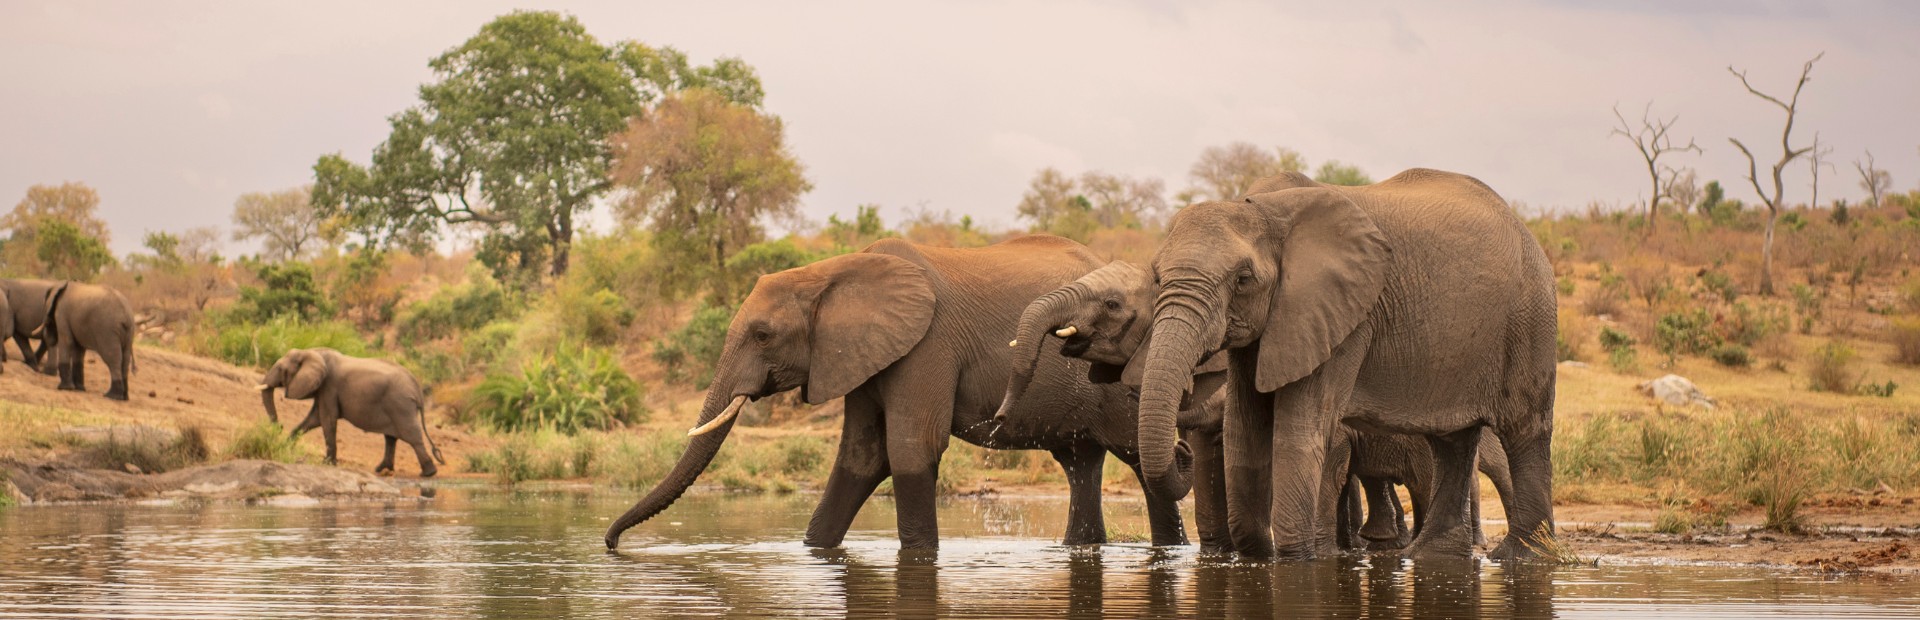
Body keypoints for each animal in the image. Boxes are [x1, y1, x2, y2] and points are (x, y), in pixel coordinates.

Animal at [256, 347, 445, 477]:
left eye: (281, 369)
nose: (279, 426)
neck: (311, 351)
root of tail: (417, 388)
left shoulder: (329, 386)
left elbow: (327, 420)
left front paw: (328, 464)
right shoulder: (323, 389)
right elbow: (314, 419)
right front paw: (286, 446)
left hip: (401, 405)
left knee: (412, 437)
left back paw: (428, 473)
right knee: (391, 438)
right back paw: (381, 469)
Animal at [605, 235, 1194, 551]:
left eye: (763, 335)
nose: (609, 543)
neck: (834, 270)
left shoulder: (926, 344)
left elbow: (911, 450)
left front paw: (917, 555)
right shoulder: (861, 356)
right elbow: (861, 458)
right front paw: (814, 549)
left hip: (1125, 384)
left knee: (1143, 459)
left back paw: (1173, 548)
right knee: (1080, 463)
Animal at [1130, 169, 1557, 560]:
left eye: (1243, 279)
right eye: (1157, 277)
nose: (1181, 450)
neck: (1263, 208)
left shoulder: (1341, 316)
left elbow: (1300, 430)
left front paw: (1300, 559)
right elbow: (1244, 427)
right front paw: (1260, 556)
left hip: (1529, 315)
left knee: (1524, 429)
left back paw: (1521, 556)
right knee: (1451, 441)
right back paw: (1431, 555)